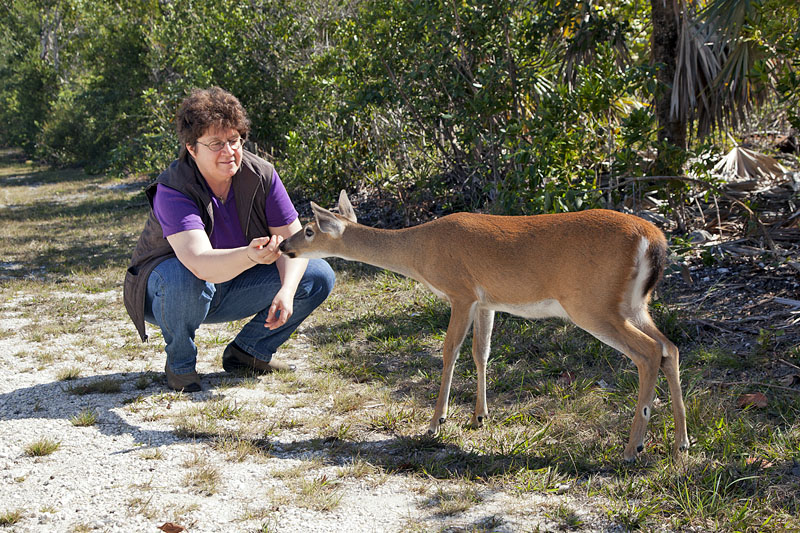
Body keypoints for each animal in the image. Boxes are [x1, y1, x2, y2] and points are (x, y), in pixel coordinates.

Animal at [280, 191, 688, 462]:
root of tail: (653, 239)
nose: (284, 247)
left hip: (592, 303)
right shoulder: (487, 300)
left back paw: (633, 447)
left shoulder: (460, 291)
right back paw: (681, 442)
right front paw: (479, 416)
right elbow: (482, 352)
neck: (418, 250)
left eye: (310, 230)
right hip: (633, 304)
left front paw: (436, 422)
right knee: (670, 347)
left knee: (649, 352)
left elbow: (450, 351)